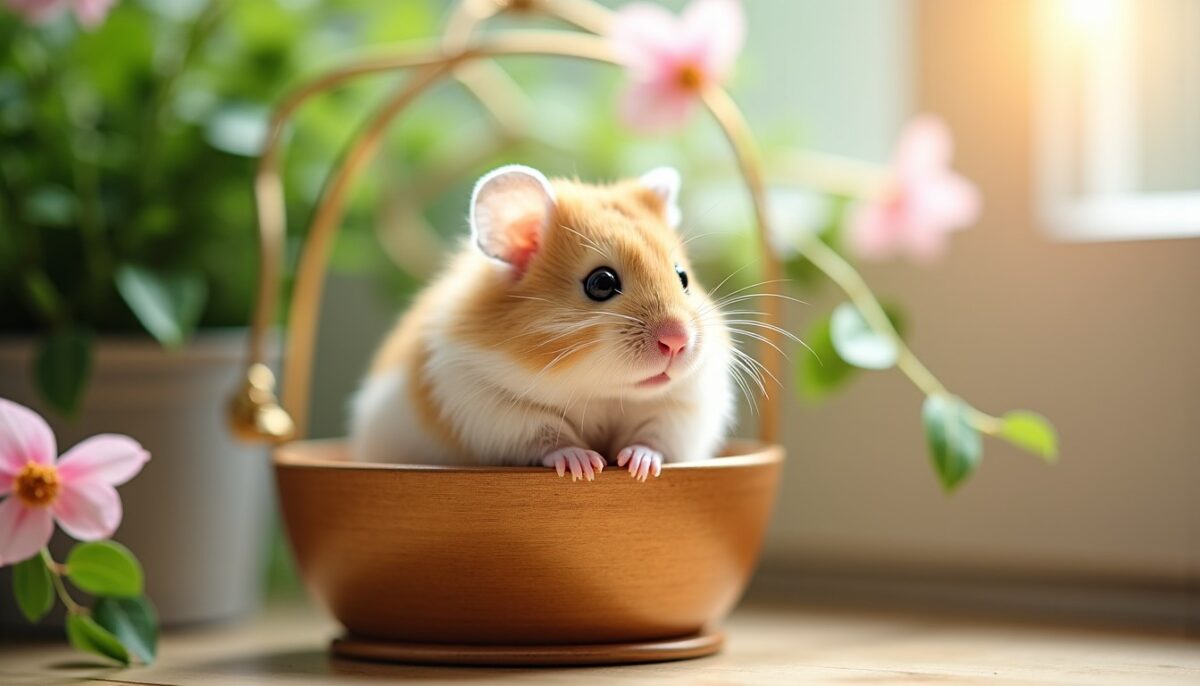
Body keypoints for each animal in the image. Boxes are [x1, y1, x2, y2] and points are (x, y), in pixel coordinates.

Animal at [350, 164, 735, 481]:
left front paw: (638, 467)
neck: (605, 394)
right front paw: (586, 466)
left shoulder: (685, 411)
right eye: (601, 283)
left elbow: (654, 438)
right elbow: (549, 435)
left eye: (683, 277)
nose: (677, 341)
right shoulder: (491, 410)